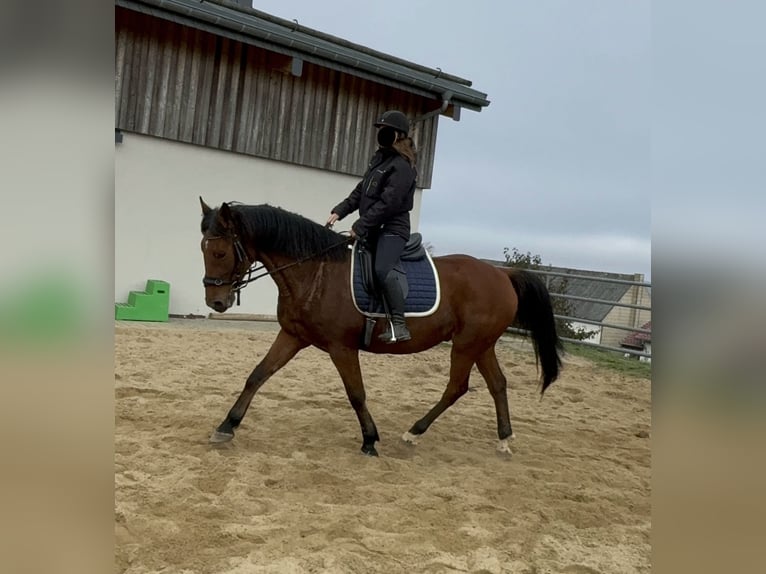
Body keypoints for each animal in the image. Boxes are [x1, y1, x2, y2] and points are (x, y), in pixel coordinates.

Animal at [200, 199, 564, 460]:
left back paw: (414, 433)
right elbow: (257, 376)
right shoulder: (292, 336)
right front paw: (227, 426)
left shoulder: (341, 347)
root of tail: (503, 274)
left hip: (466, 345)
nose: (215, 302)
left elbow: (356, 393)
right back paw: (504, 440)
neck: (315, 272)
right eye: (204, 249)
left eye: (220, 251)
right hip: (481, 344)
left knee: (457, 388)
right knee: (497, 384)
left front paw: (370, 441)